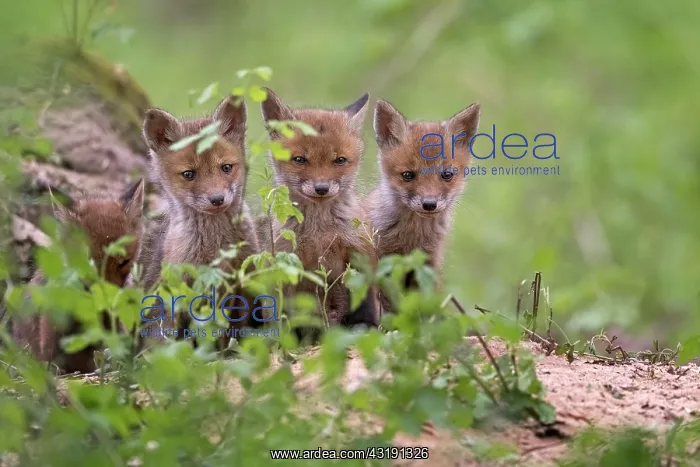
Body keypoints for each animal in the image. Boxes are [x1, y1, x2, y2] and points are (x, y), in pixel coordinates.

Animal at [139, 95, 261, 349]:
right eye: (188, 174)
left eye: (226, 167)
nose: (217, 199)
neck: (215, 247)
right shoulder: (176, 288)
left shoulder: (244, 278)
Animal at [260, 88, 380, 340]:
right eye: (300, 159)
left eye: (340, 160)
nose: (322, 188)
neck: (320, 233)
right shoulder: (289, 262)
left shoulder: (359, 254)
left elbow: (363, 303)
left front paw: (365, 326)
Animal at [367, 99, 481, 314]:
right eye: (408, 175)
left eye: (446, 175)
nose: (429, 204)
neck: (414, 236)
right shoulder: (382, 262)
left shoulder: (428, 264)